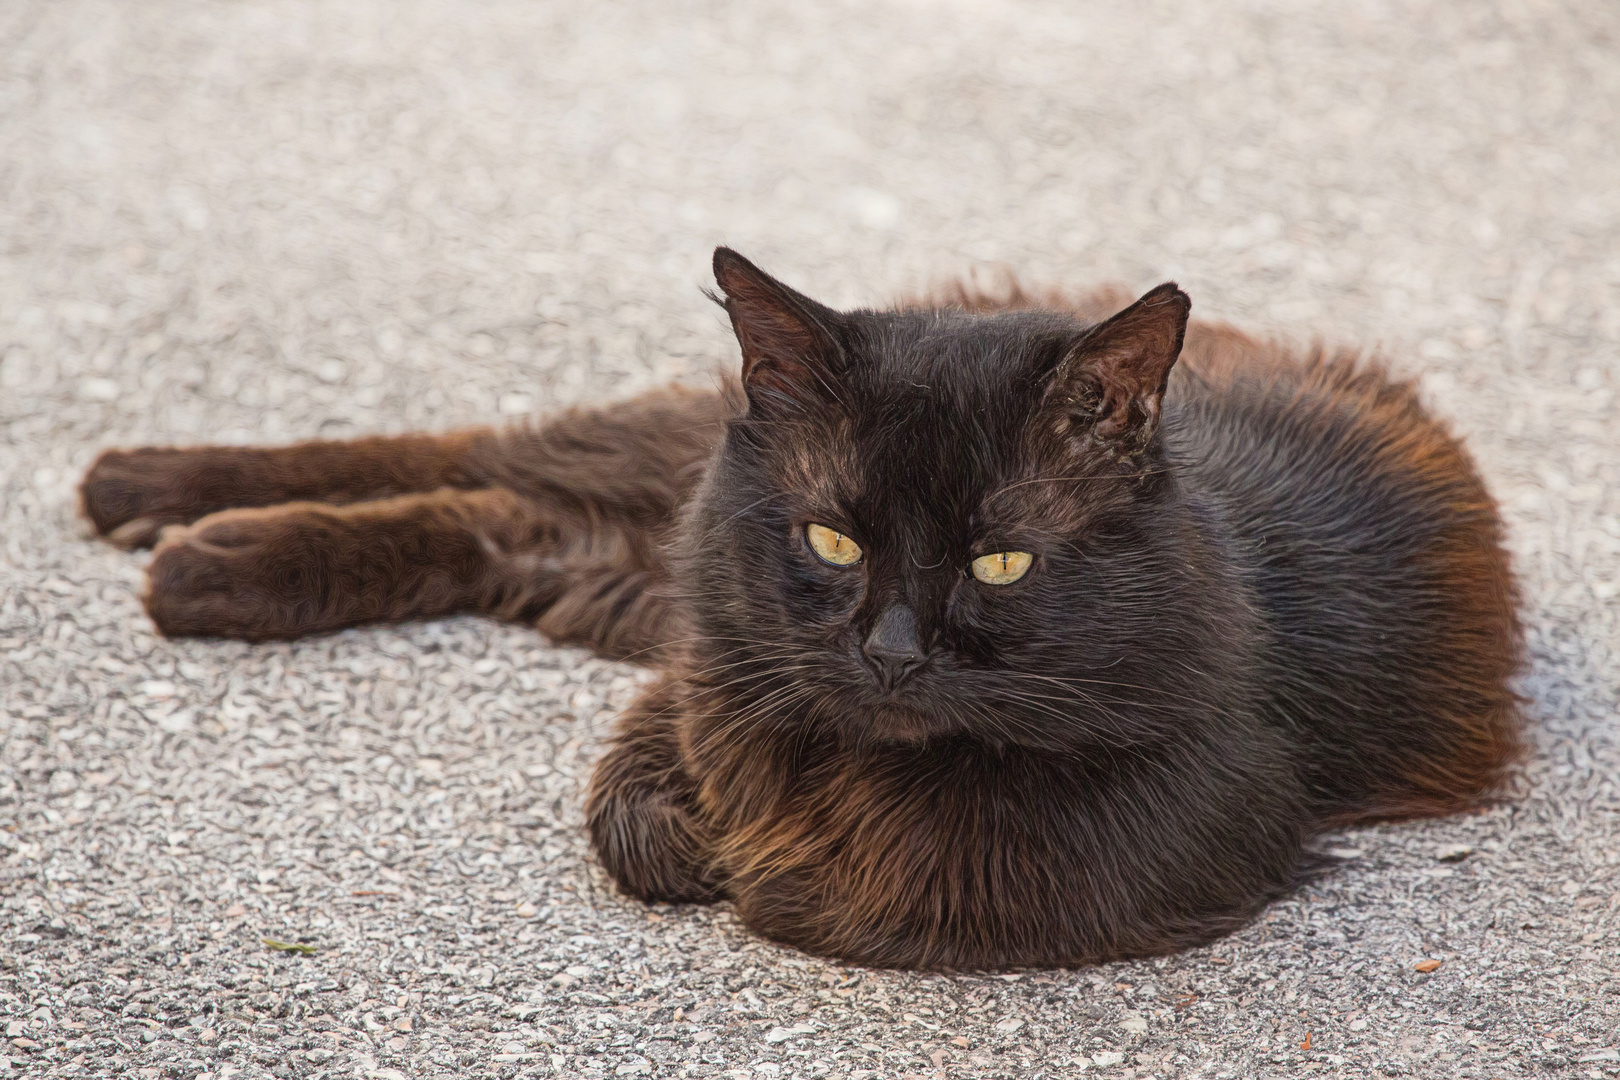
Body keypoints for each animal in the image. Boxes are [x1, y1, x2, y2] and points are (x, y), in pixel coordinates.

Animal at [78, 250, 1516, 971]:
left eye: (1000, 564)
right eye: (832, 538)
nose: (889, 652)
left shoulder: (1115, 859)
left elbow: (816, 885)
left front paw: (732, 858)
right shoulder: (711, 650)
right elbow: (647, 800)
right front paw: (702, 832)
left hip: (617, 558)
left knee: (500, 514)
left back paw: (193, 554)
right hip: (656, 483)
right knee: (481, 447)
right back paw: (147, 494)